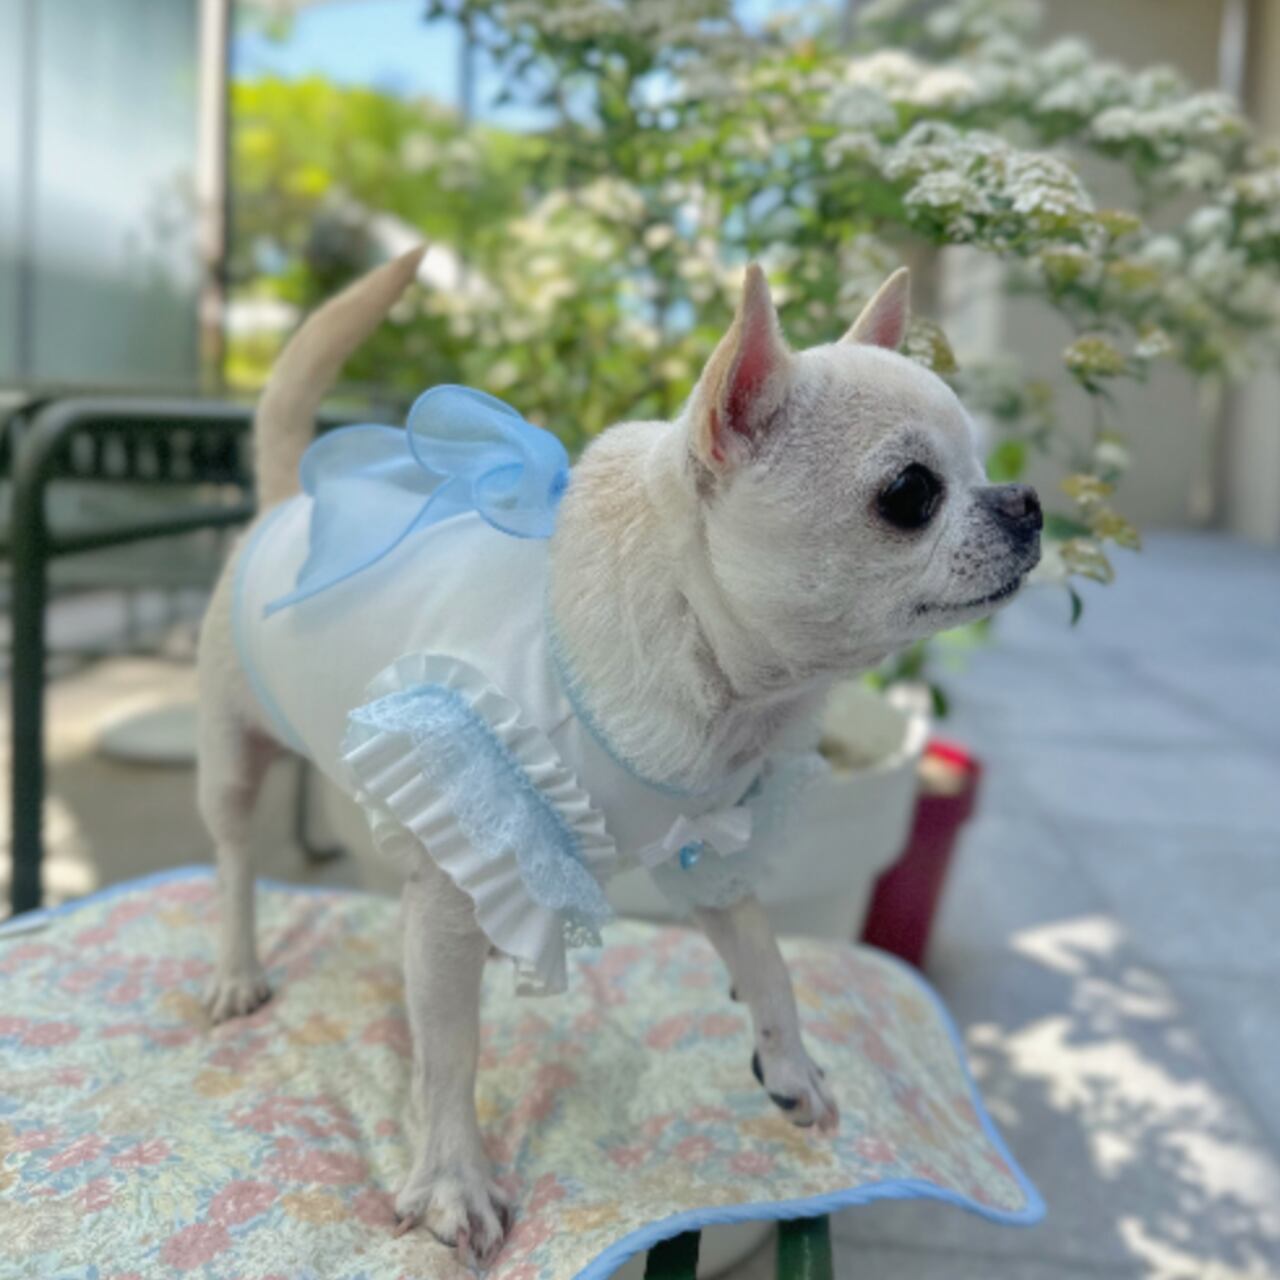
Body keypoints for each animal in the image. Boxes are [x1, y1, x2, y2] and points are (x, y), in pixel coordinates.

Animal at [196, 247, 1041, 1266]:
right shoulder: (458, 874)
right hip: (234, 759)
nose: (1029, 503)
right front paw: (453, 1179)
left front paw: (789, 1061)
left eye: (985, 468)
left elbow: (766, 955)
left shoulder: (711, 845)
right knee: (235, 863)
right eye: (912, 494)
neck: (723, 683)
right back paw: (236, 967)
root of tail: (290, 501)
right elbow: (449, 1055)